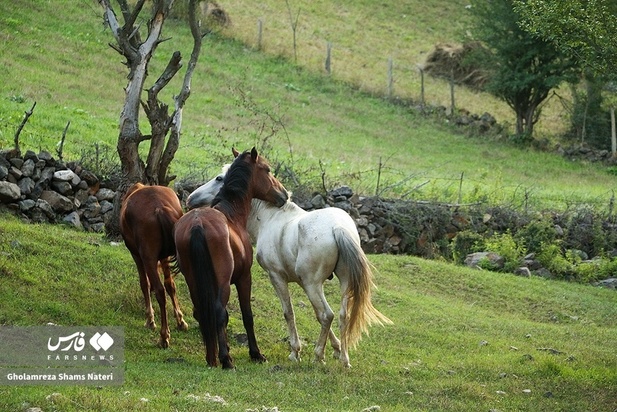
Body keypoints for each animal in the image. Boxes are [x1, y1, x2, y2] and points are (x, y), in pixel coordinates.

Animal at [118, 183, 188, 348]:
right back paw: (181, 323)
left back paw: (164, 336)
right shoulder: (164, 257)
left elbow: (145, 284)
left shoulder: (137, 255)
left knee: (159, 291)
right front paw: (179, 319)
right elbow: (171, 285)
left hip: (147, 258)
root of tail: (159, 208)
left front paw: (150, 319)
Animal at [173, 147, 288, 366]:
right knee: (218, 312)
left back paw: (212, 358)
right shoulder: (244, 278)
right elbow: (246, 315)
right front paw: (255, 353)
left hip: (193, 280)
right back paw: (225, 360)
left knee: (202, 311)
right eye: (267, 170)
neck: (231, 214)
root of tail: (197, 223)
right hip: (224, 283)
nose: (284, 194)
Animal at [185, 164, 392, 366]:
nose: (190, 198)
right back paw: (344, 359)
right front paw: (336, 348)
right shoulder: (301, 282)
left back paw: (318, 356)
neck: (270, 218)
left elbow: (289, 313)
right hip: (341, 281)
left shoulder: (277, 277)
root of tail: (337, 228)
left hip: (313, 284)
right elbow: (316, 314)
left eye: (220, 178)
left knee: (328, 314)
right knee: (341, 315)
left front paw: (295, 351)